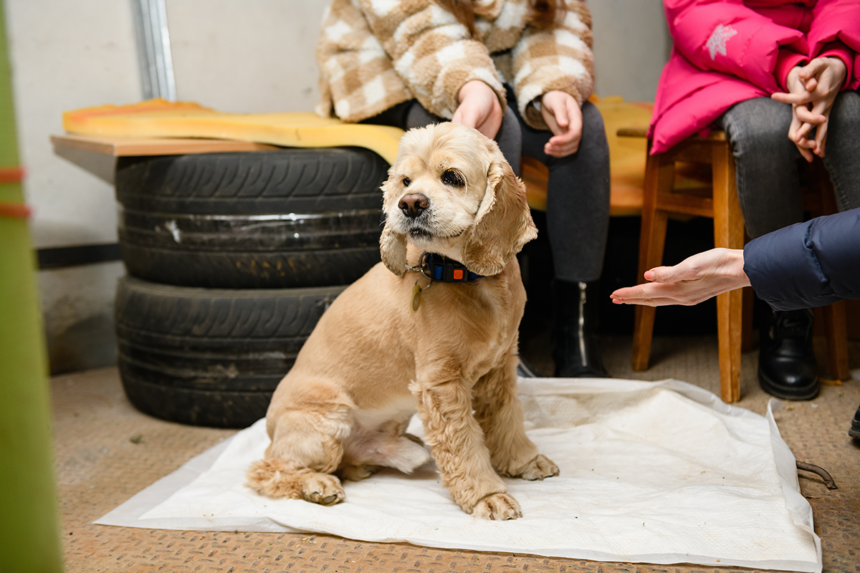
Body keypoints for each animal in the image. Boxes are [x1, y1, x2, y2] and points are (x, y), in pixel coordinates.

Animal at [245, 123, 560, 520]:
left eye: (452, 177)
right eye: (405, 181)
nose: (409, 203)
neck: (466, 276)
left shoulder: (500, 366)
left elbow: (507, 418)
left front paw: (523, 461)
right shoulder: (440, 383)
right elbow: (463, 443)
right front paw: (486, 496)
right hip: (326, 422)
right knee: (267, 469)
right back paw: (317, 485)